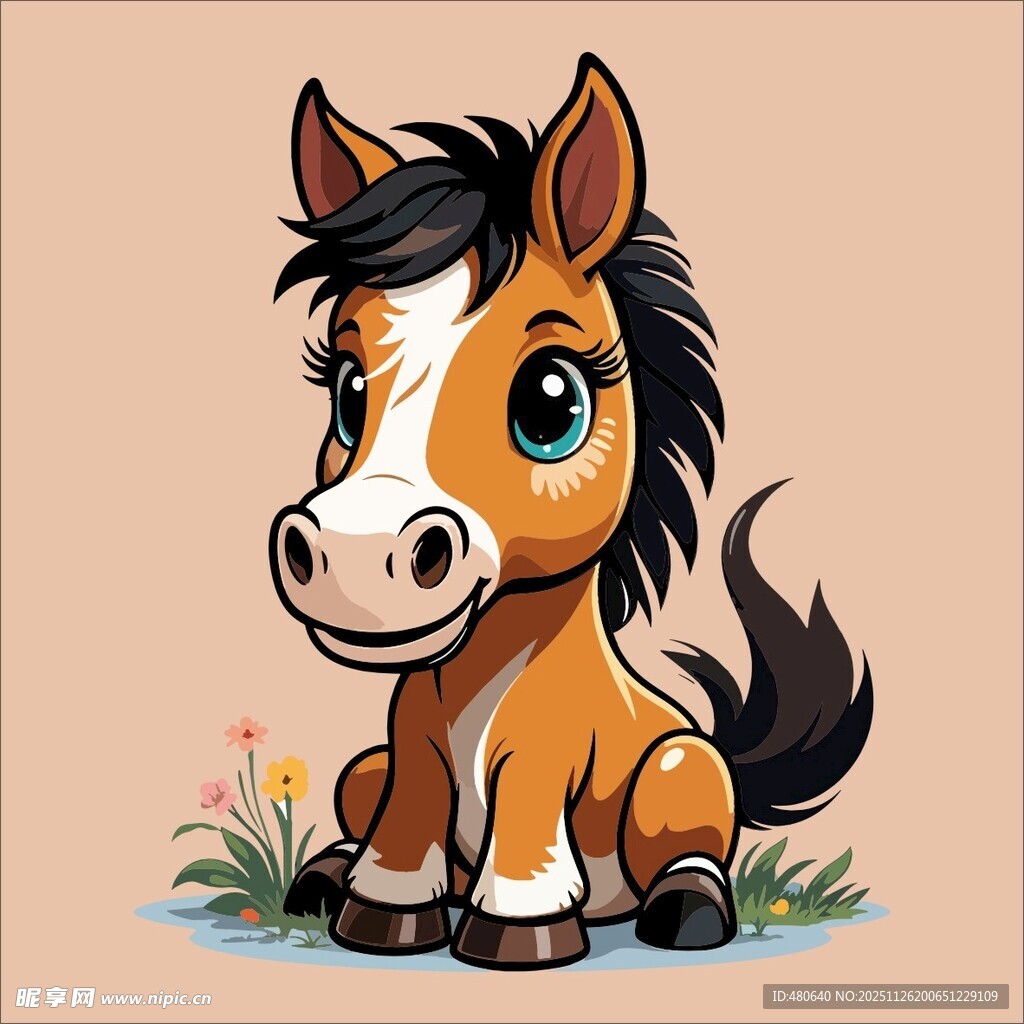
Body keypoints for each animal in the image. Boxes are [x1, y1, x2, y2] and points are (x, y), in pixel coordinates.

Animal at [269, 54, 873, 970]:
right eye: (346, 390)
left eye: (551, 401)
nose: (355, 552)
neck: (475, 683)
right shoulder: (409, 753)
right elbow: (404, 830)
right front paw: (375, 914)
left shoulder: (546, 756)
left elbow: (524, 834)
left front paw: (523, 933)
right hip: (362, 768)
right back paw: (320, 875)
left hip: (678, 768)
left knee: (692, 841)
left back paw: (687, 910)